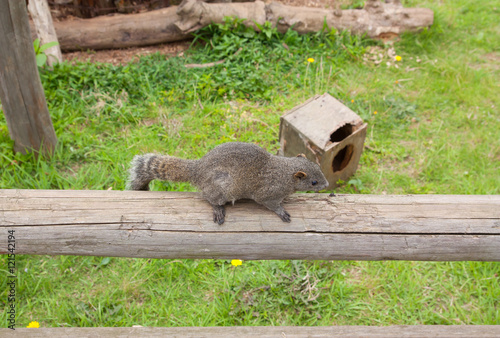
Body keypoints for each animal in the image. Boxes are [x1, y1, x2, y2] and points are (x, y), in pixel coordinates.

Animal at [126, 142, 328, 224]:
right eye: (314, 181)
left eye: (319, 167)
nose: (326, 185)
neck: (284, 173)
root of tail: (197, 170)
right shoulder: (267, 192)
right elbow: (270, 204)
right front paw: (281, 211)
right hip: (221, 187)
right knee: (209, 198)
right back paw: (218, 209)